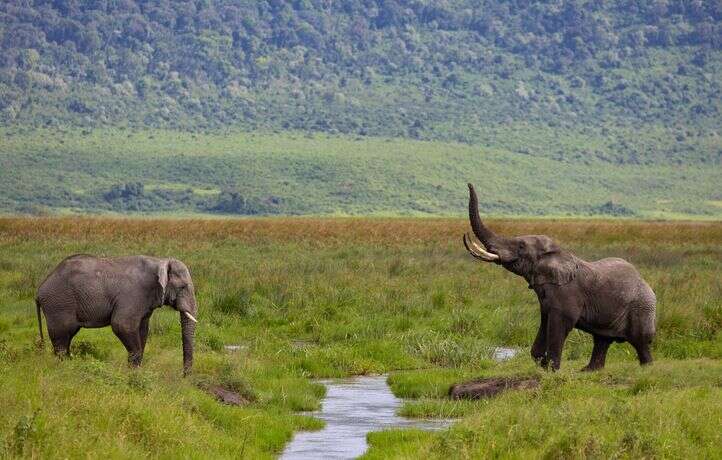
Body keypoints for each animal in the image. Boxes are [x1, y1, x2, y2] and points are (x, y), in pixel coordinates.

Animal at [36, 253, 197, 376]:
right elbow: (122, 325)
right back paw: (64, 368)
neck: (160, 261)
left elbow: (143, 330)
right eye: (183, 287)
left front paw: (135, 372)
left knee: (67, 337)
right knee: (61, 338)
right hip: (58, 304)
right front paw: (133, 373)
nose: (184, 376)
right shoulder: (133, 295)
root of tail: (39, 290)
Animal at [462, 183, 652, 370]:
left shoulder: (567, 293)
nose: (469, 184)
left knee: (641, 342)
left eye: (521, 246)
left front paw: (552, 369)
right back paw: (588, 370)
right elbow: (545, 320)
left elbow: (561, 322)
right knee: (602, 340)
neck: (557, 251)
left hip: (642, 308)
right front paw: (542, 363)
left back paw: (647, 369)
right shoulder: (547, 299)